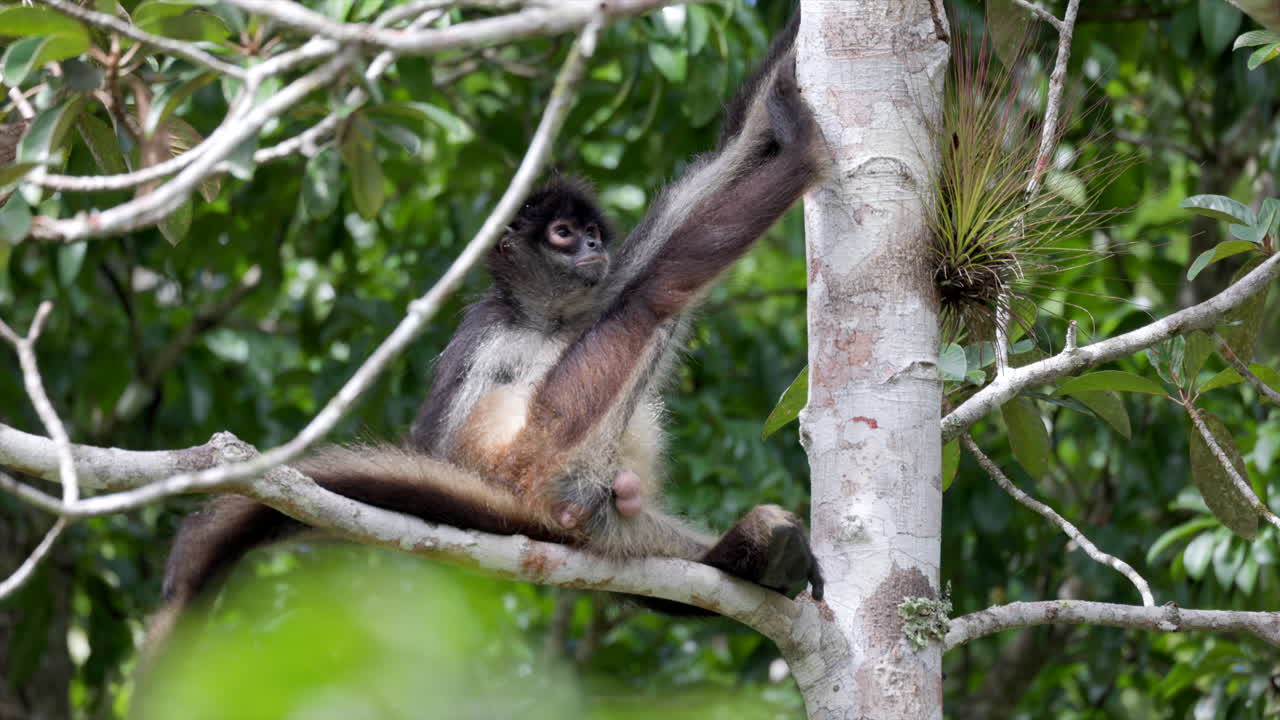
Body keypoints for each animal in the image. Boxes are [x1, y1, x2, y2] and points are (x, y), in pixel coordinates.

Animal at [153, 13, 826, 648]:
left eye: (592, 234)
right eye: (562, 234)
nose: (590, 247)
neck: (548, 320)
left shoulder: (606, 281)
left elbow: (736, 147)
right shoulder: (487, 328)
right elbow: (435, 448)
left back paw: (751, 556)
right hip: (546, 462)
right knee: (657, 295)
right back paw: (801, 154)